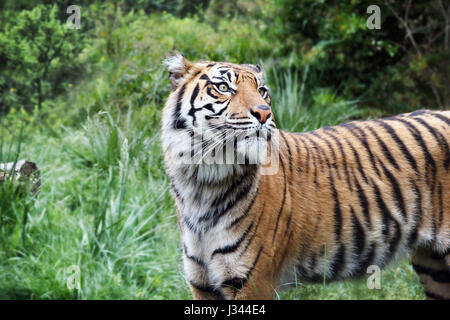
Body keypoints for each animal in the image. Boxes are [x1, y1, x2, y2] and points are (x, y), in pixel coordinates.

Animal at [160, 53, 448, 300]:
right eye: (223, 87)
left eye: (262, 91)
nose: (264, 113)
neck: (202, 181)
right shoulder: (202, 283)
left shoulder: (253, 283)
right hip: (433, 267)